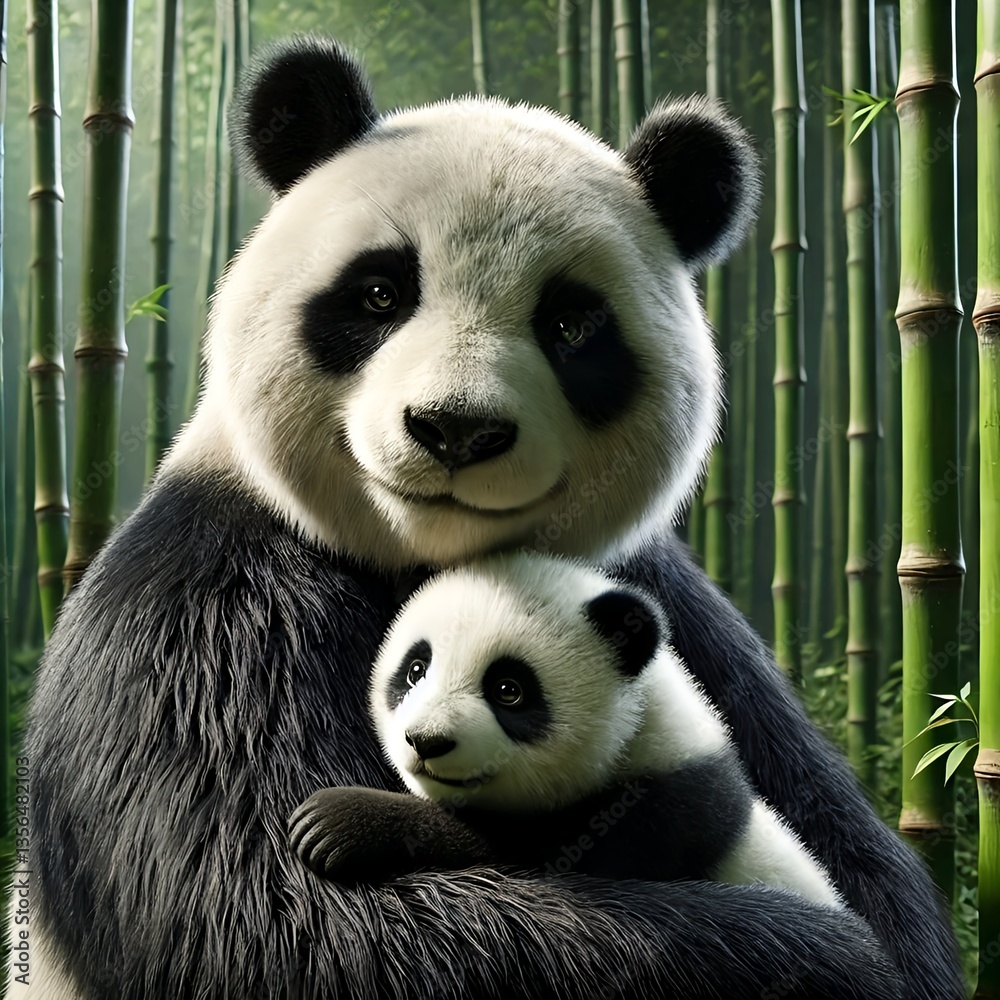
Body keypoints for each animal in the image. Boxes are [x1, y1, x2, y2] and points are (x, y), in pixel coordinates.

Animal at [289, 552, 843, 913]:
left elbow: (530, 848)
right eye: (416, 669)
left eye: (509, 690)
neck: (639, 722)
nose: (426, 741)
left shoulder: (666, 811)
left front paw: (340, 822)